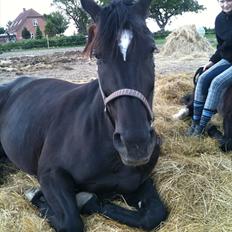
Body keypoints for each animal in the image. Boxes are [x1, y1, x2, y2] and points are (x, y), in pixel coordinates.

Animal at [0, 0, 168, 231]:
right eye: (97, 55)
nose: (135, 144)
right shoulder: (50, 173)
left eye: (152, 49)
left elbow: (154, 214)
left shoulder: (138, 183)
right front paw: (36, 196)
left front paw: (89, 201)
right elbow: (71, 221)